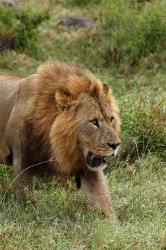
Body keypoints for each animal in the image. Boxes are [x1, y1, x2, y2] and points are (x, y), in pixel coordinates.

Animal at [0, 61, 120, 219]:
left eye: (111, 119)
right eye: (94, 122)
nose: (115, 145)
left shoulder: (88, 168)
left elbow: (104, 201)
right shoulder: (21, 162)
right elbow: (28, 204)